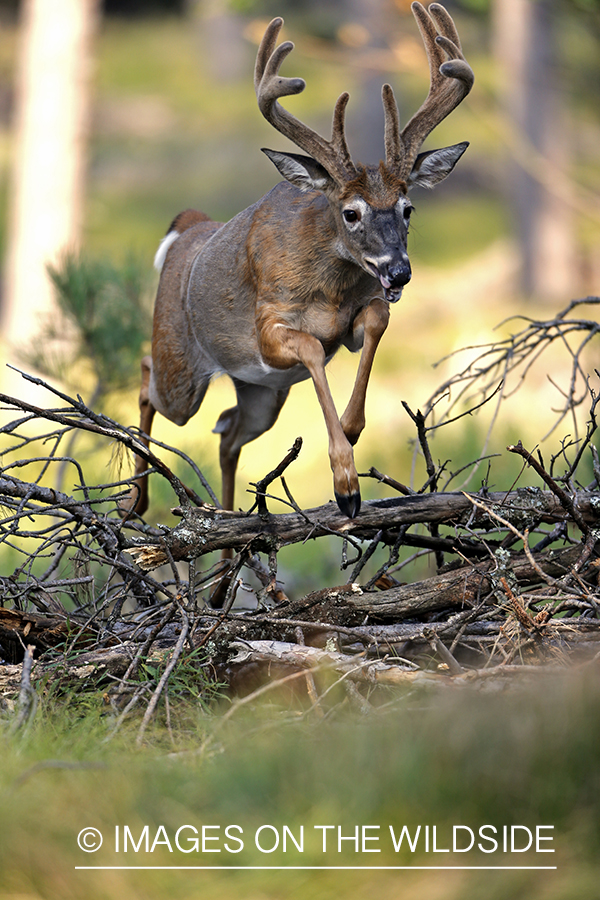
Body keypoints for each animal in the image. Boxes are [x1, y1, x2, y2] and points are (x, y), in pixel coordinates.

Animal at [124, 0, 476, 532]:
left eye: (408, 207)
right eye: (351, 212)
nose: (399, 272)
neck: (328, 289)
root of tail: (189, 225)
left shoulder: (353, 321)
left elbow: (376, 320)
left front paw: (351, 429)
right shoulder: (268, 326)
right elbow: (310, 346)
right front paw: (346, 485)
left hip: (260, 394)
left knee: (227, 430)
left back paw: (229, 527)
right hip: (181, 370)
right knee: (148, 379)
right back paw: (138, 500)